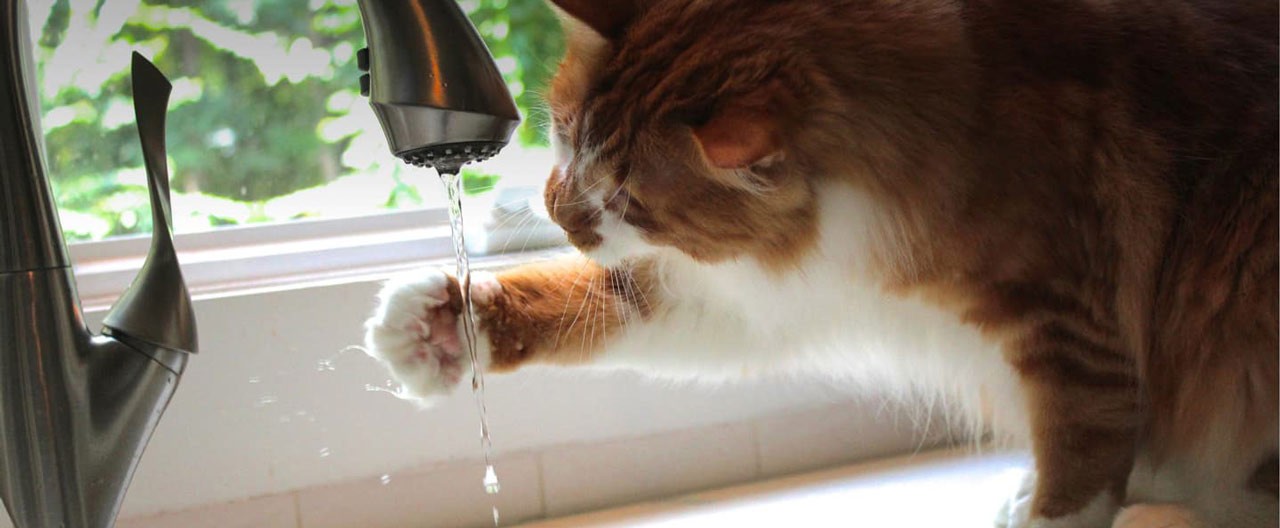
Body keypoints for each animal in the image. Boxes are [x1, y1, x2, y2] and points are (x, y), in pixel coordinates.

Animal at [363, 2, 1280, 525]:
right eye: (558, 133)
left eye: (629, 201)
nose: (557, 209)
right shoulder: (762, 292)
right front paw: (440, 324)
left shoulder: (1073, 332)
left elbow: (1081, 473)